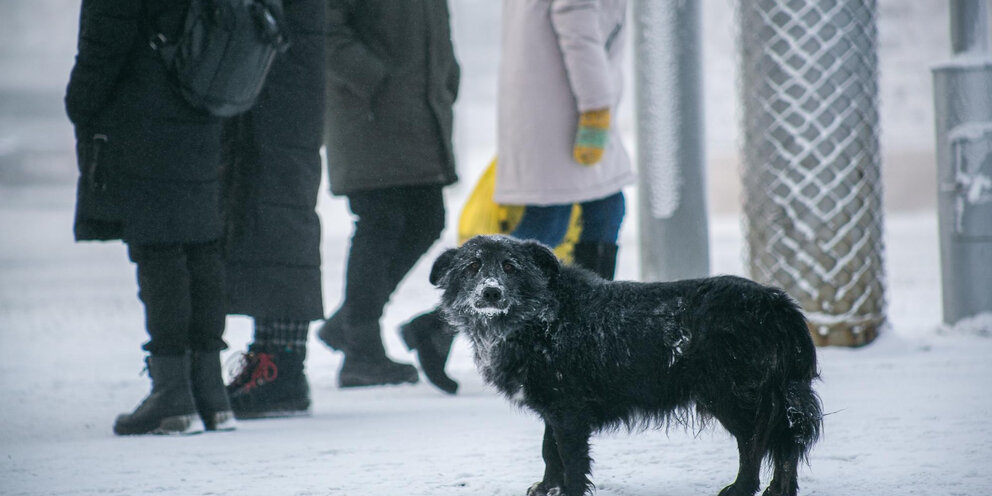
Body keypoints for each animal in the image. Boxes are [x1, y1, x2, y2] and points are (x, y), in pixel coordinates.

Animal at [428, 235, 820, 496]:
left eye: (510, 266)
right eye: (472, 267)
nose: (491, 292)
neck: (540, 317)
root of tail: (775, 302)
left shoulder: (568, 411)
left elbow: (569, 456)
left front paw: (569, 491)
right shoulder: (554, 407)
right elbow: (548, 450)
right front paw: (548, 486)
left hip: (733, 396)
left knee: (755, 445)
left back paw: (741, 487)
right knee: (786, 444)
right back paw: (779, 490)